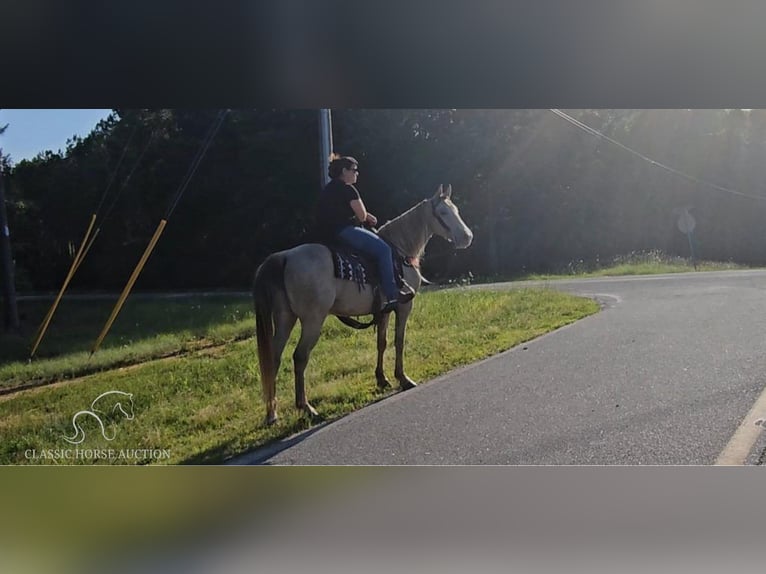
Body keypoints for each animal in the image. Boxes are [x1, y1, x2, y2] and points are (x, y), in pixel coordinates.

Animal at [255, 186, 474, 428]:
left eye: (456, 210)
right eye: (443, 212)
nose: (467, 237)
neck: (400, 251)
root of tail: (284, 257)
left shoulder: (385, 309)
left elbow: (382, 342)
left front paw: (382, 379)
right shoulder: (404, 307)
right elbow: (399, 341)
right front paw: (403, 378)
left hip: (285, 318)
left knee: (273, 358)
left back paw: (272, 414)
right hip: (312, 320)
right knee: (300, 357)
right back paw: (307, 408)